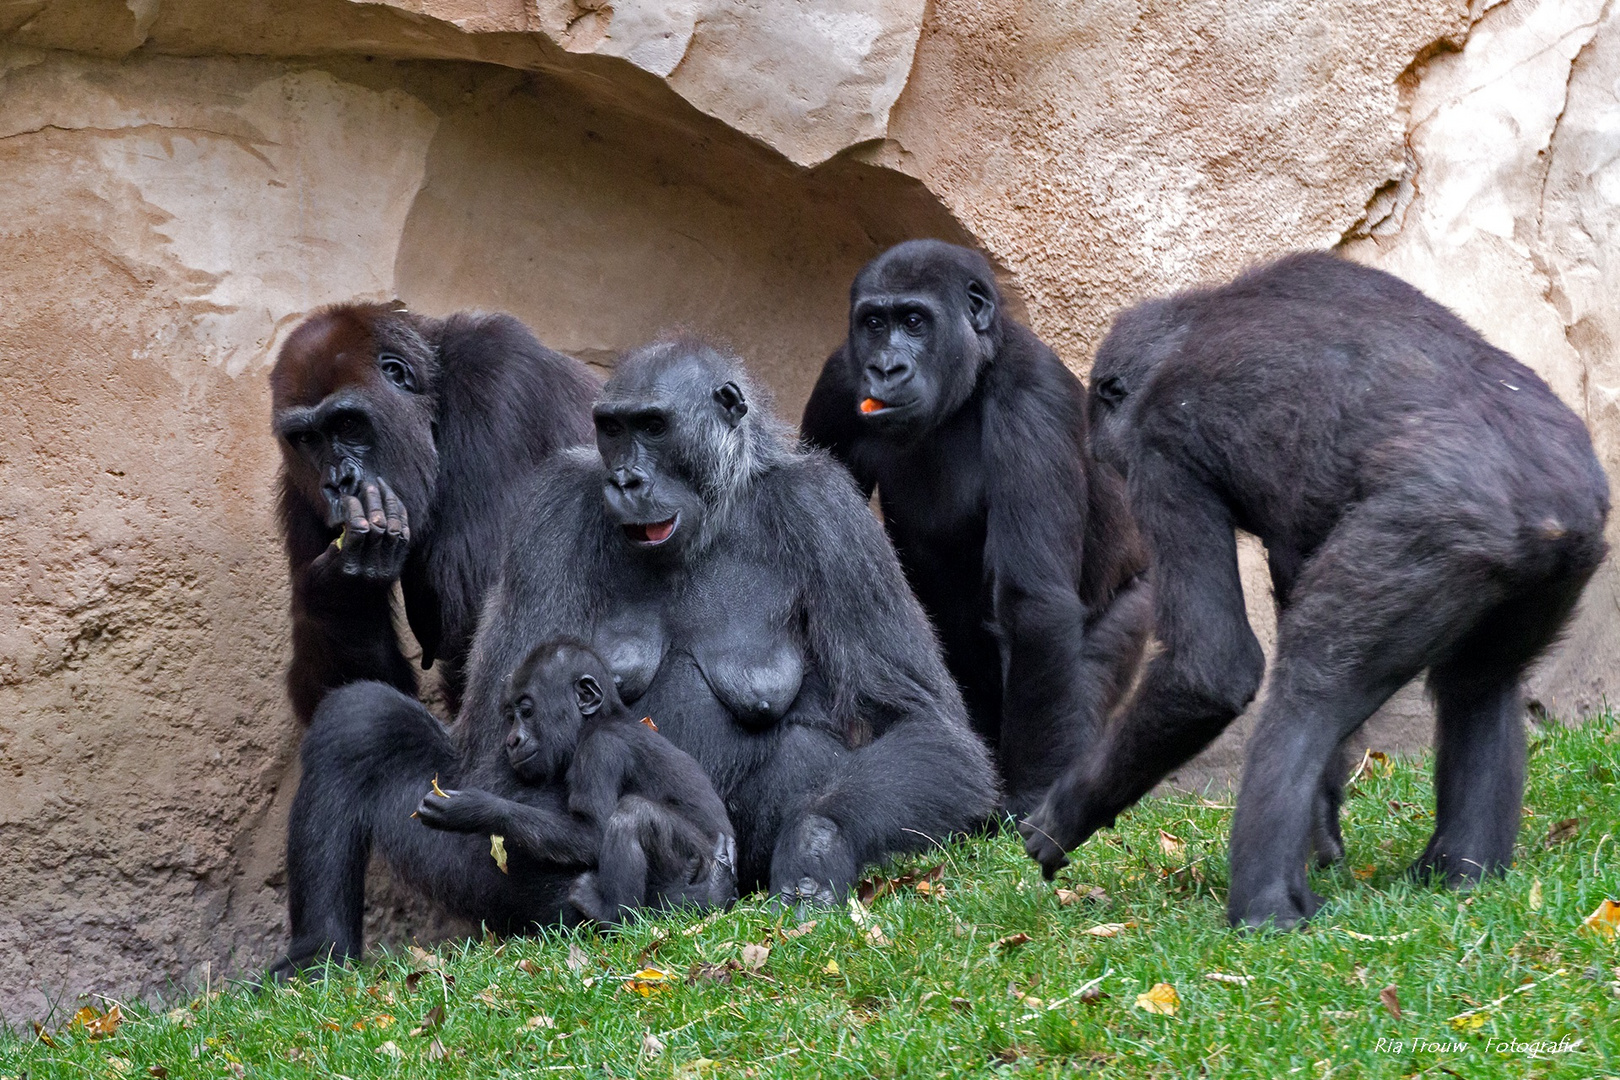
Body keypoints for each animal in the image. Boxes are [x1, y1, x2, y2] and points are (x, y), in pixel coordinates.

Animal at [272, 304, 602, 722]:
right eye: (306, 438)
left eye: (347, 423)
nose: (338, 483)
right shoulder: (298, 489)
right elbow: (342, 693)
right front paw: (343, 591)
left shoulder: (495, 379)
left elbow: (477, 606)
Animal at [414, 641, 738, 932]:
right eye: (509, 717)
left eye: (527, 712)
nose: (512, 740)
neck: (597, 721)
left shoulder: (600, 750)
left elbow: (593, 830)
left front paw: (476, 809)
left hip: (697, 859)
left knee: (631, 816)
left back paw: (615, 912)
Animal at [800, 242, 1153, 819]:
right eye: (874, 323)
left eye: (914, 322)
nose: (886, 368)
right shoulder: (839, 380)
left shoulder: (1032, 394)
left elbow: (1033, 605)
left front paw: (1031, 795)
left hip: (1137, 601)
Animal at [1023, 254, 1607, 932]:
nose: (1102, 459)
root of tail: (1551, 509)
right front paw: (1325, 822)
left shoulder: (1159, 453)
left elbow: (1209, 669)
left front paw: (1065, 812)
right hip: (1563, 559)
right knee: (1480, 685)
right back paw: (1463, 872)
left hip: (1428, 538)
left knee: (1310, 684)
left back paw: (1265, 907)